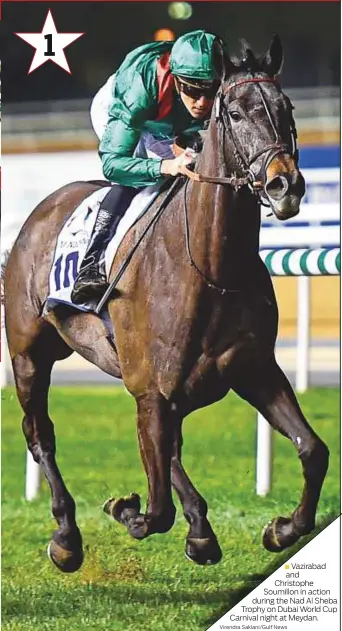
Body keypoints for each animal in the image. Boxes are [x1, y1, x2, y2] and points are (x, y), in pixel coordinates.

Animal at [3, 37, 328, 576]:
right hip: (30, 355)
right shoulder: (151, 389)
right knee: (40, 433)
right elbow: (155, 511)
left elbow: (313, 450)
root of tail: (41, 211)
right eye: (234, 113)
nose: (286, 185)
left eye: (287, 109)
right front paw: (125, 511)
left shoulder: (254, 369)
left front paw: (281, 529)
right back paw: (66, 535)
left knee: (167, 449)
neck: (211, 267)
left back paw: (201, 530)